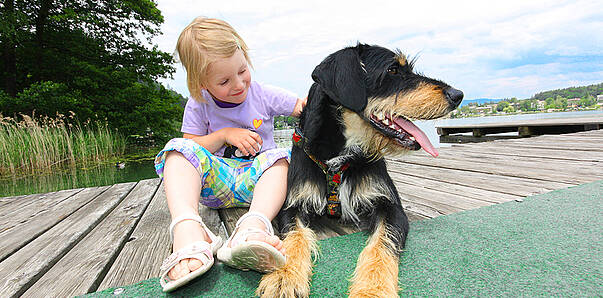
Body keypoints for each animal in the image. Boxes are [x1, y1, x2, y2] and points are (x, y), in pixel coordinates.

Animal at [256, 43, 462, 296]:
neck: (340, 156)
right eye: (393, 70)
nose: (458, 95)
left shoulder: (392, 208)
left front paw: (372, 290)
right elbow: (293, 236)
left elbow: (382, 244)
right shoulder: (292, 206)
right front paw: (284, 276)